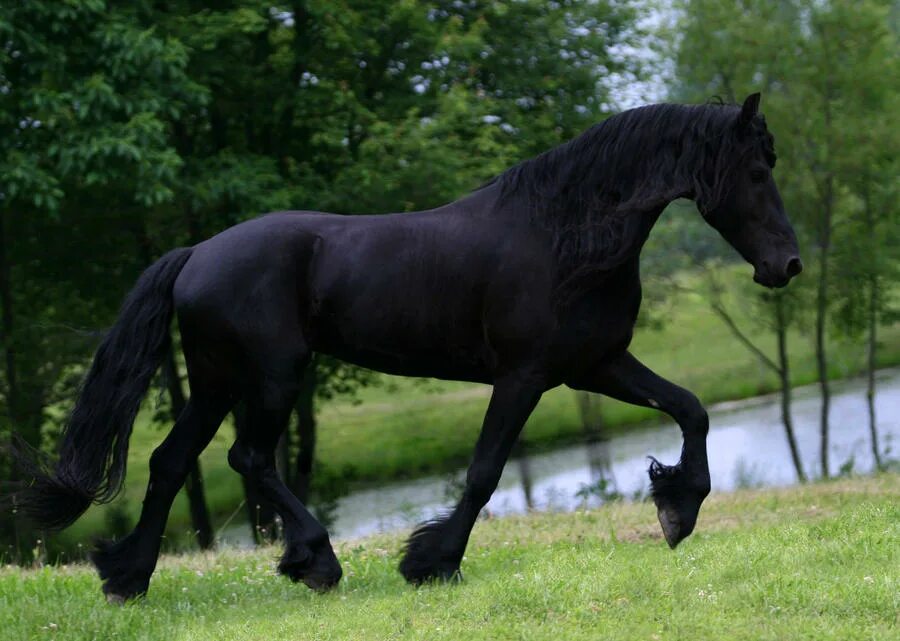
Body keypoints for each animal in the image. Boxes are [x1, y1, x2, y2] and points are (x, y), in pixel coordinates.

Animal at [10, 94, 800, 600]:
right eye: (757, 172)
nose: (787, 265)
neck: (564, 235)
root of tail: (196, 253)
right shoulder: (525, 376)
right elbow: (483, 472)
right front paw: (431, 561)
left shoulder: (595, 365)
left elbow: (692, 408)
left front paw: (677, 510)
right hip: (272, 377)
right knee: (248, 459)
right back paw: (316, 562)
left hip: (214, 381)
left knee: (171, 461)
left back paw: (128, 577)